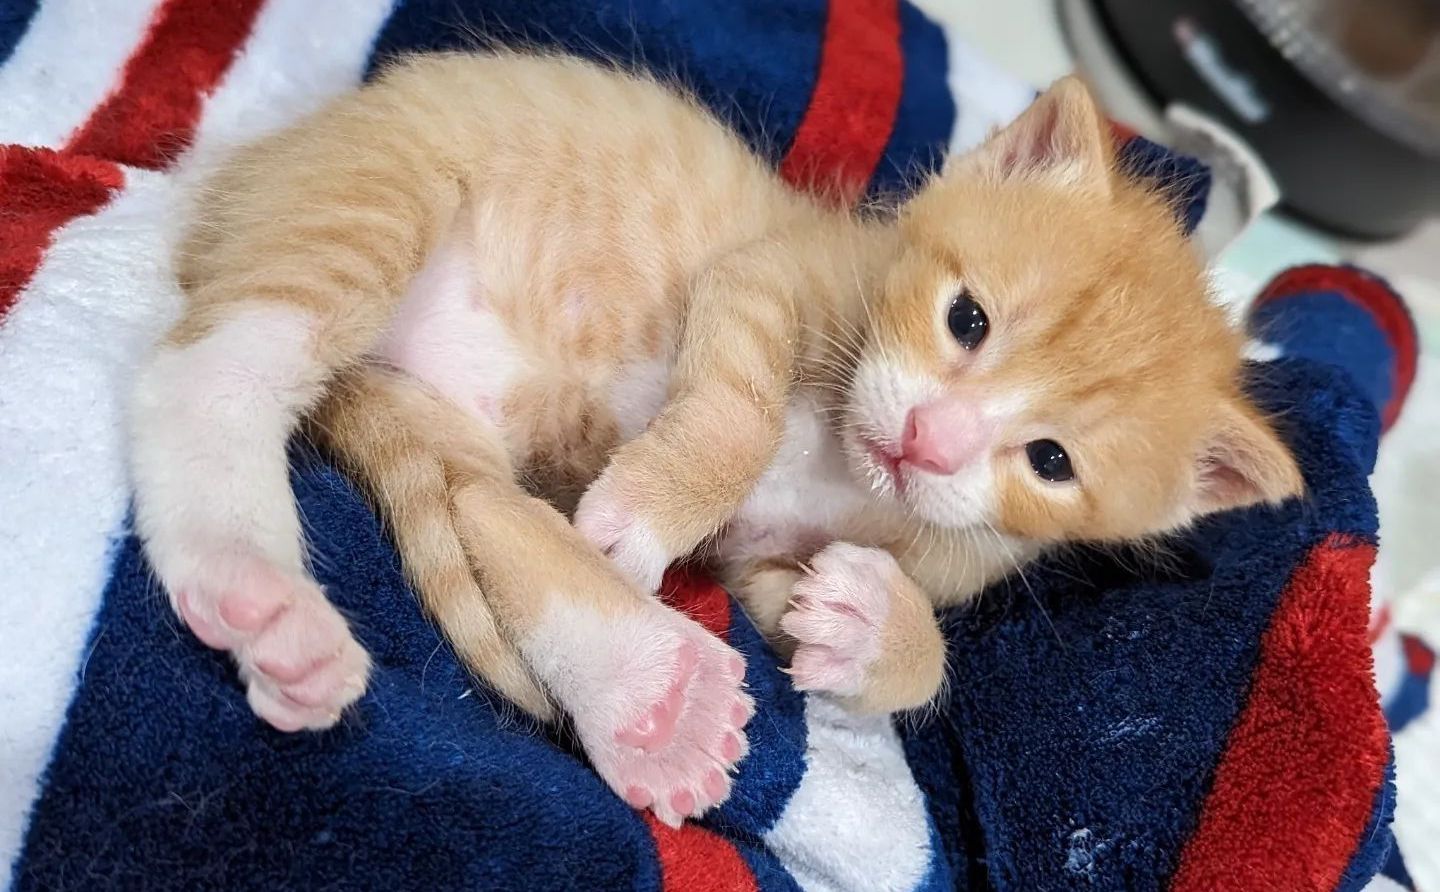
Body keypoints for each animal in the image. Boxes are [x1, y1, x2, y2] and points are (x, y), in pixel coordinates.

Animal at [126, 52, 1307, 824]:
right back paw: (252, 580)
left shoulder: (776, 563)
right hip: (372, 196)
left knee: (483, 507)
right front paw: (655, 504)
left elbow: (865, 638)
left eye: (1052, 462)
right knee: (207, 374)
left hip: (443, 416)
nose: (929, 443)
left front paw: (874, 629)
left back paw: (649, 702)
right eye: (967, 319)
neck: (844, 463)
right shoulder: (769, 276)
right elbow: (738, 409)